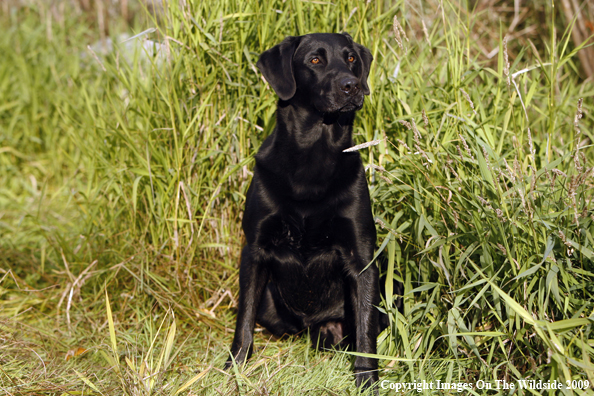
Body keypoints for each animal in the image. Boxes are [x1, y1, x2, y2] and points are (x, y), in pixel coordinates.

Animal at [224, 32, 382, 392]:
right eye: (315, 60)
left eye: (351, 58)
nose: (352, 85)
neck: (314, 154)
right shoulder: (254, 250)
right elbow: (243, 320)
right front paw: (234, 369)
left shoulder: (362, 257)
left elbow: (365, 332)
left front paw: (367, 380)